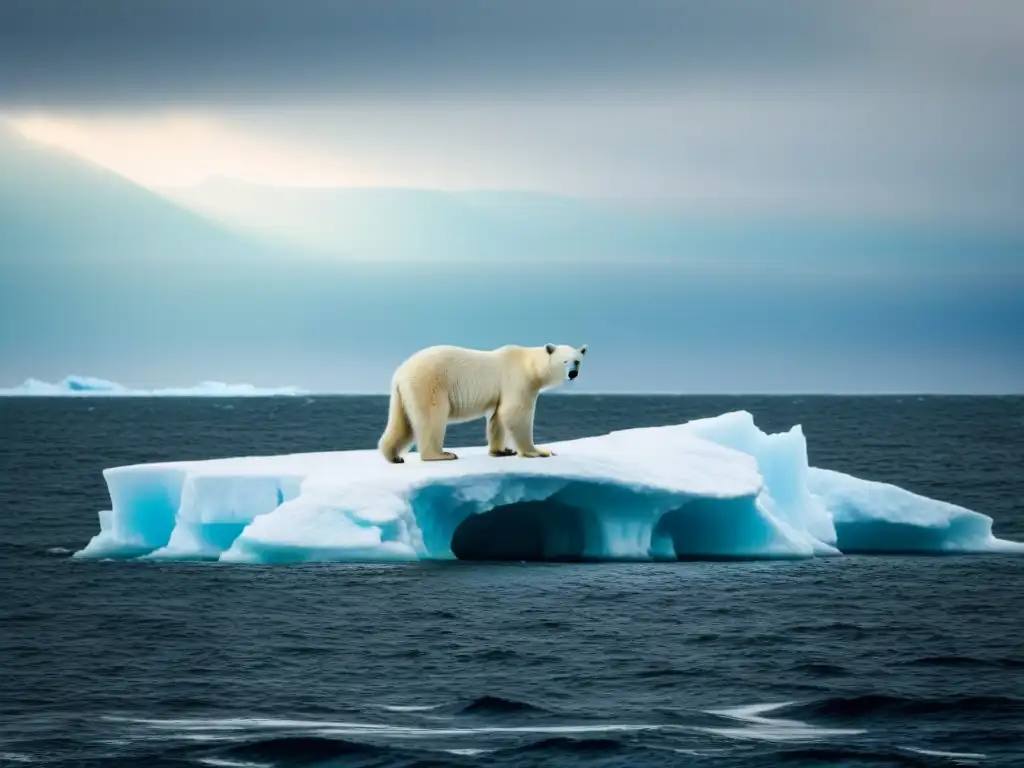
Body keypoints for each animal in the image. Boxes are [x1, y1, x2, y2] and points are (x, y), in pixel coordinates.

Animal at [378, 342, 589, 462]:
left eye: (577, 361)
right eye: (564, 361)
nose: (573, 373)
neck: (529, 364)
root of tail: (399, 373)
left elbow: (498, 417)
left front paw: (502, 451)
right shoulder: (518, 380)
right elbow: (514, 413)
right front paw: (538, 451)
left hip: (404, 394)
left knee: (402, 423)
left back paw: (393, 456)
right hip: (429, 383)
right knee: (432, 417)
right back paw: (442, 455)